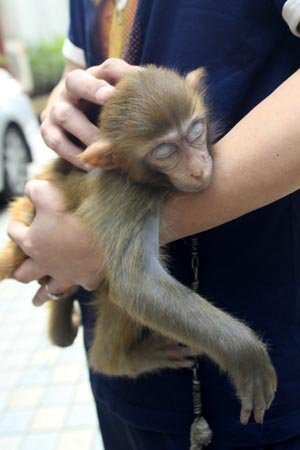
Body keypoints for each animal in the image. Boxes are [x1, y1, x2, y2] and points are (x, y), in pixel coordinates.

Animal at [0, 64, 276, 426]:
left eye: (195, 132)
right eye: (165, 152)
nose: (197, 168)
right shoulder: (128, 192)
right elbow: (137, 285)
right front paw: (247, 356)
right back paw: (116, 359)